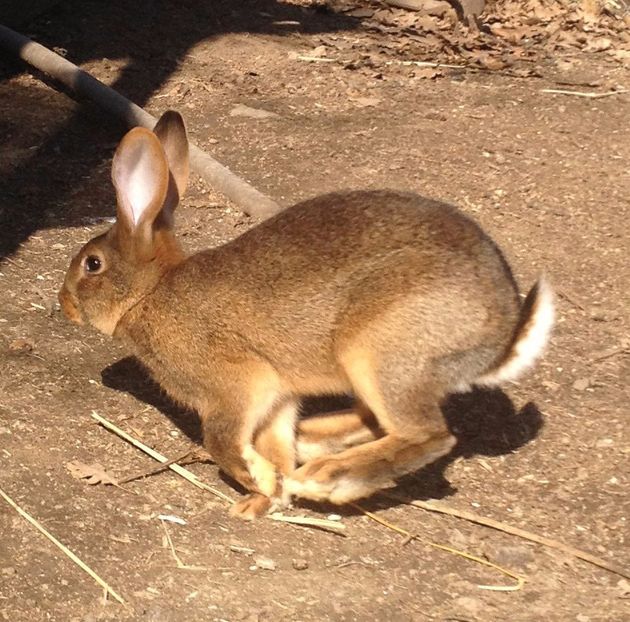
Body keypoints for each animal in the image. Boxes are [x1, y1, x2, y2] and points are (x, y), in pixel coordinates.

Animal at [58, 111, 552, 520]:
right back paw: (312, 442)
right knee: (378, 421)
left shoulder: (238, 386)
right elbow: (273, 445)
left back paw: (327, 479)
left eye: (92, 265)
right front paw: (265, 496)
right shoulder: (278, 399)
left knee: (429, 436)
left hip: (377, 350)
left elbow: (222, 442)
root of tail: (501, 335)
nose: (63, 305)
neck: (149, 293)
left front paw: (256, 482)